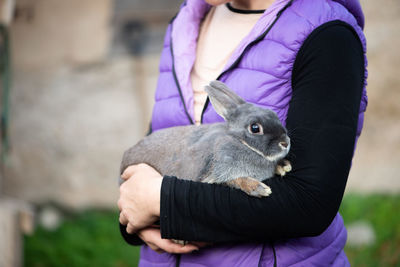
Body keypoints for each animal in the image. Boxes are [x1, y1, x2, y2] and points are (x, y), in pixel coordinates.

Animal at [119, 80, 290, 198]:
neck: (241, 142)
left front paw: (284, 166)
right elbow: (236, 180)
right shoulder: (216, 173)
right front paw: (260, 189)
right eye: (255, 128)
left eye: (274, 114)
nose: (285, 143)